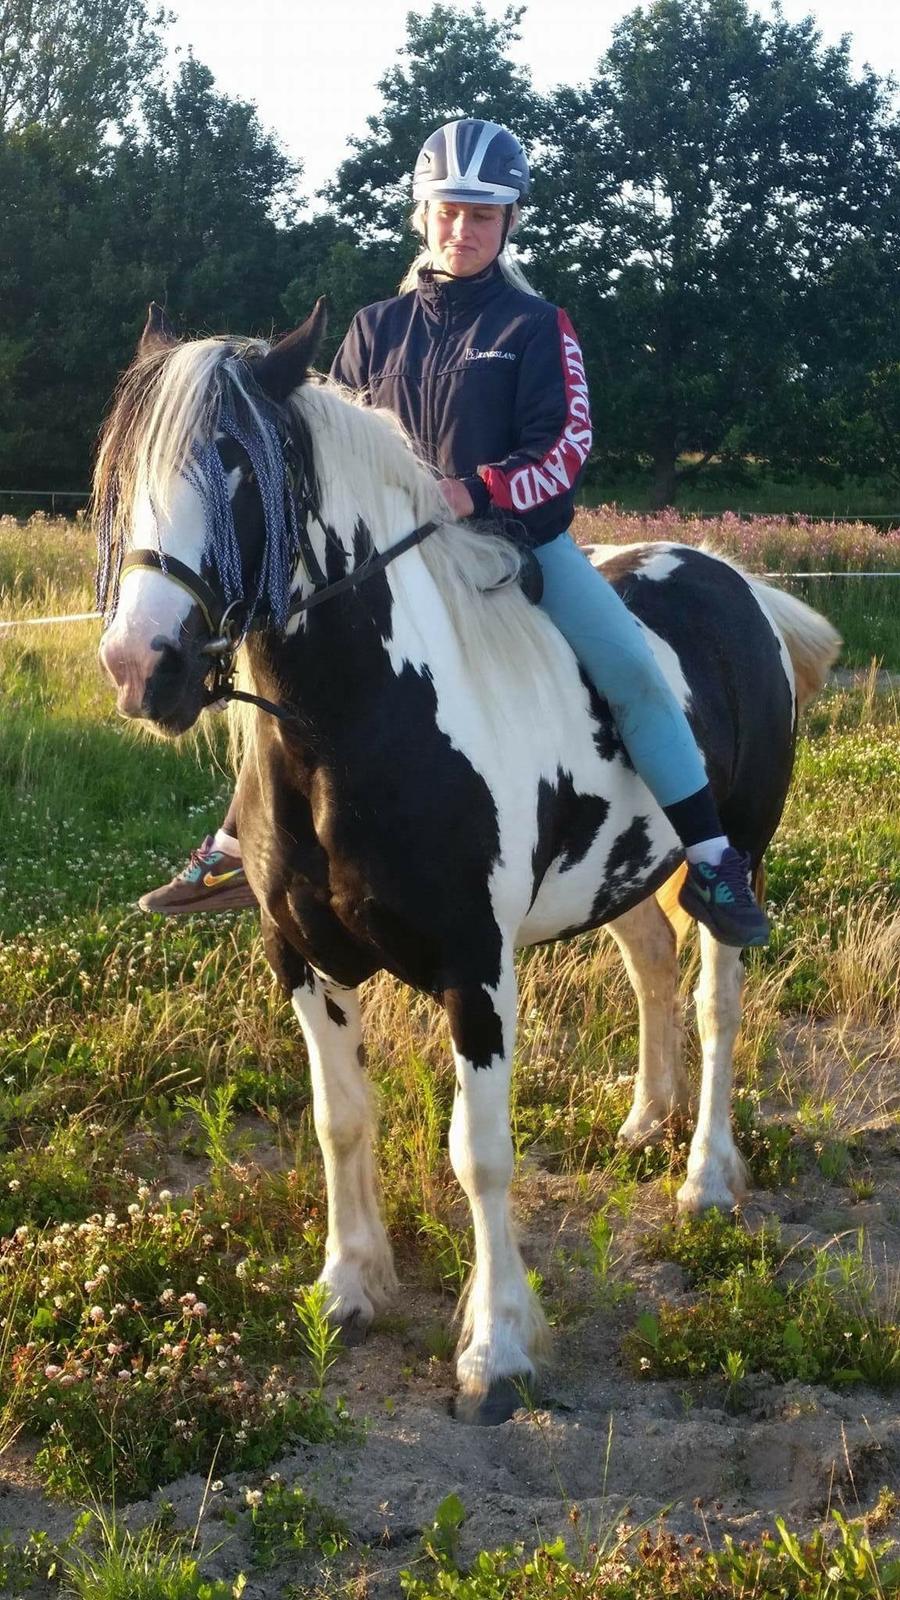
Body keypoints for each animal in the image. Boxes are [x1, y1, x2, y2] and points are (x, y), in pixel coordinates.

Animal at [94, 300, 839, 1427]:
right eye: (127, 463)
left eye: (234, 462)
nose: (143, 666)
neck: (363, 722)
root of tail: (738, 580)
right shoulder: (303, 960)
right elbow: (340, 1120)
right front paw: (348, 1285)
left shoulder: (475, 971)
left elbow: (479, 1154)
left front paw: (497, 1348)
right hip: (617, 874)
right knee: (652, 966)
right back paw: (644, 1120)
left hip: (738, 860)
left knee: (717, 1002)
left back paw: (705, 1176)